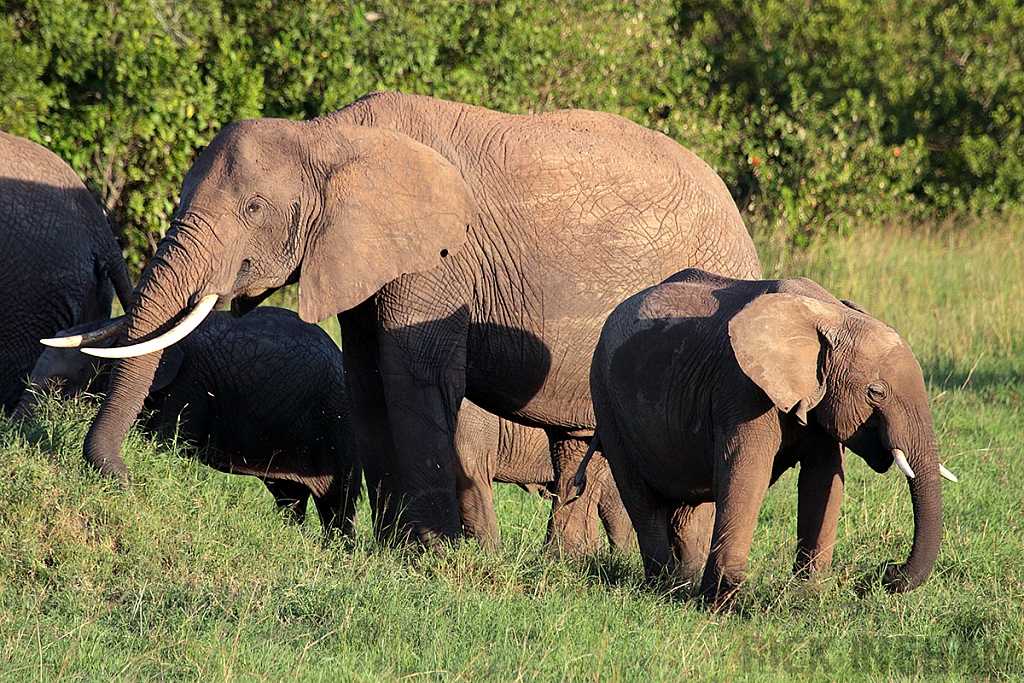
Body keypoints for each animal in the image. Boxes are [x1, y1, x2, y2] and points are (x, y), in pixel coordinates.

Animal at [17, 309, 360, 540]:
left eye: (59, 385)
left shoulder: (186, 387)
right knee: (289, 497)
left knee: (338, 505)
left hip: (339, 427)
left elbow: (168, 444)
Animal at [589, 270, 954, 602]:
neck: (829, 315)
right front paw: (722, 602)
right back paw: (665, 586)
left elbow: (824, 479)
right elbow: (747, 470)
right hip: (605, 400)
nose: (884, 573)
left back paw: (682, 583)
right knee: (641, 500)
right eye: (875, 393)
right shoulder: (742, 387)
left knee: (687, 510)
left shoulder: (818, 394)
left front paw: (807, 594)